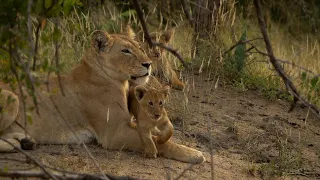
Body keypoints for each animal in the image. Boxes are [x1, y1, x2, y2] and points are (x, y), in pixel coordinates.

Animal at [0, 29, 205, 165]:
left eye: (140, 48)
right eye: (125, 51)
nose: (148, 64)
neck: (119, 82)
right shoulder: (114, 134)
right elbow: (159, 142)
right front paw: (194, 154)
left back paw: (26, 141)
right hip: (12, 96)